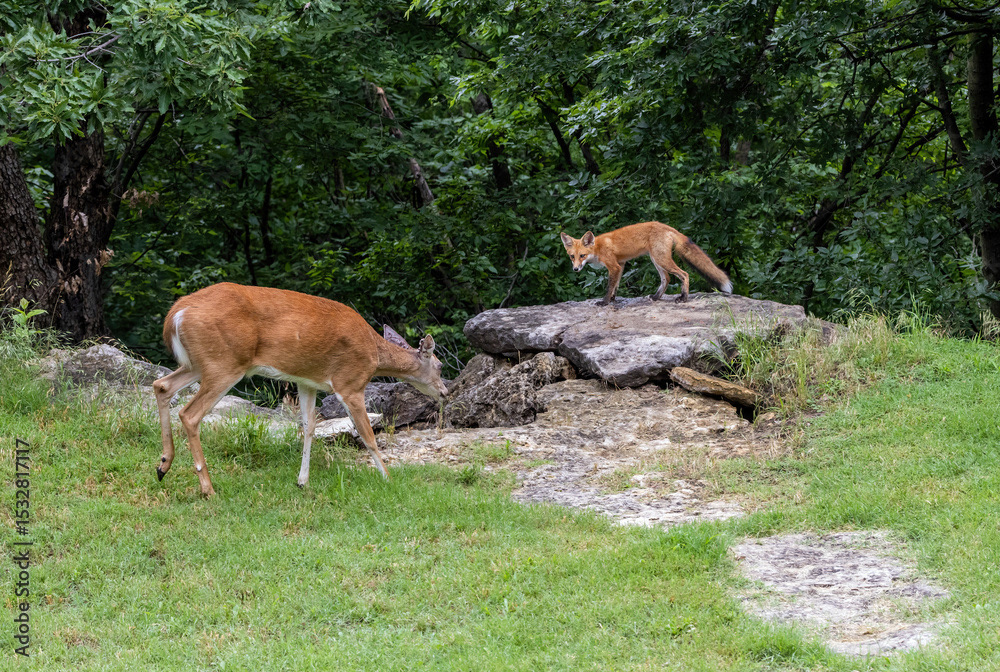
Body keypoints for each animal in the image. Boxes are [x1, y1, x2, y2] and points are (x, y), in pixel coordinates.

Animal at [560, 221, 732, 305]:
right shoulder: (621, 265)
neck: (598, 247)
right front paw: (613, 300)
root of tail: (667, 226)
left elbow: (609, 287)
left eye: (582, 255)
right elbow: (615, 286)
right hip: (656, 259)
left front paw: (604, 302)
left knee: (684, 274)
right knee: (666, 279)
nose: (575, 269)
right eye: (572, 257)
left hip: (661, 259)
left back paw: (683, 298)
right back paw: (656, 297)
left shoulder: (614, 266)